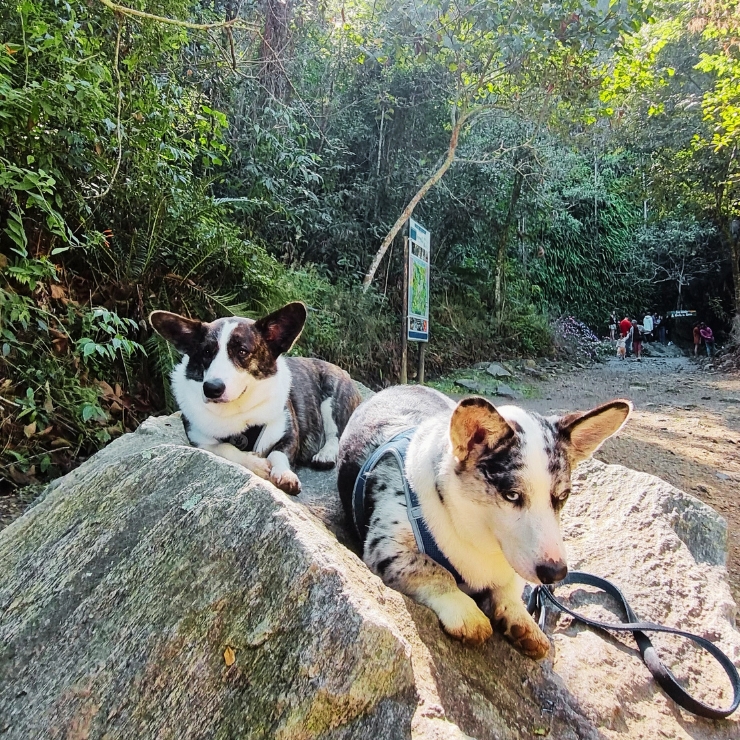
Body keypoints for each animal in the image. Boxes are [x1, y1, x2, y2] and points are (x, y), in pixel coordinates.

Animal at [150, 304, 362, 494]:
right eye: (206, 352)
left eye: (242, 351)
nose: (211, 389)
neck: (237, 409)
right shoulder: (200, 441)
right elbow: (226, 447)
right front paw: (258, 464)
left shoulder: (289, 435)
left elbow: (278, 454)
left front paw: (285, 475)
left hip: (333, 398)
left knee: (336, 434)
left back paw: (325, 455)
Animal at [336, 384, 632, 656]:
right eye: (512, 495)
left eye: (563, 496)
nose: (555, 573)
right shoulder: (388, 547)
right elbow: (434, 570)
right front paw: (467, 614)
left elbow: (510, 588)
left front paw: (521, 620)